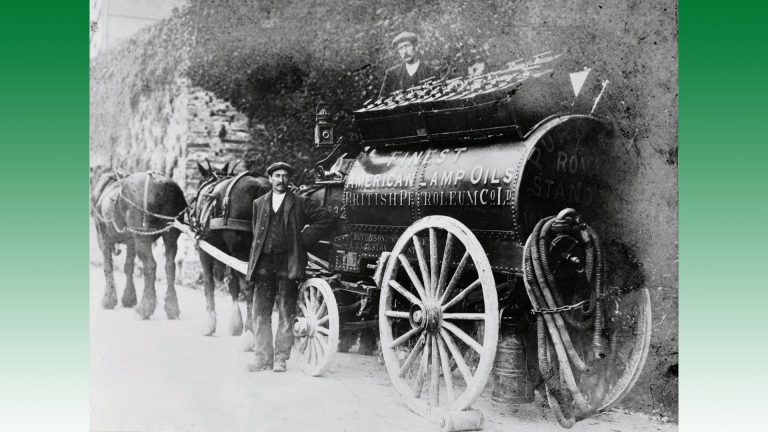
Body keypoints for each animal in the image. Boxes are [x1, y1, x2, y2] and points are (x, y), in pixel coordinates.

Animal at [90, 168, 187, 320]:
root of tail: (161, 183)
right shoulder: (131, 242)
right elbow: (128, 267)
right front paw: (128, 298)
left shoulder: (103, 239)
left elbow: (108, 268)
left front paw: (108, 300)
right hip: (170, 234)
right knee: (170, 266)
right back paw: (172, 307)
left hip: (142, 237)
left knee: (150, 266)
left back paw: (145, 307)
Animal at [191, 161, 271, 344]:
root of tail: (261, 187)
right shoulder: (228, 254)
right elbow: (233, 284)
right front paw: (235, 325)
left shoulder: (205, 251)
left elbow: (209, 283)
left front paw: (209, 324)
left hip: (241, 253)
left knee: (249, 286)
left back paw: (250, 333)